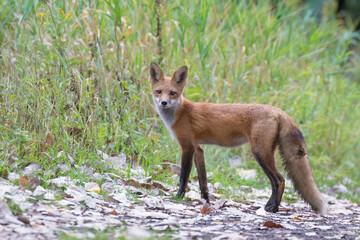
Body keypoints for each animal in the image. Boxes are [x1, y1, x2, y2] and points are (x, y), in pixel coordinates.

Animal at [148, 62, 326, 215]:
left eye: (173, 93)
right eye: (159, 91)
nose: (164, 102)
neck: (180, 113)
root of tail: (277, 111)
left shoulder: (187, 147)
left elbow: (183, 177)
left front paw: (178, 197)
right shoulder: (198, 148)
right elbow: (203, 180)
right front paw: (206, 202)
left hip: (259, 153)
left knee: (279, 180)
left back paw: (273, 209)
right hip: (267, 153)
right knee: (275, 182)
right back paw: (268, 206)